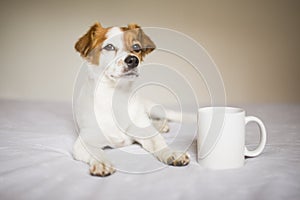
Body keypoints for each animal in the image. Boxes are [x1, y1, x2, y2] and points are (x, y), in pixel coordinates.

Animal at [72, 22, 190, 177]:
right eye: (109, 46)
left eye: (136, 47)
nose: (133, 60)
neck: (116, 96)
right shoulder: (85, 141)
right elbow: (96, 152)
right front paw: (102, 163)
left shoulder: (147, 134)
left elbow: (159, 143)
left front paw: (172, 154)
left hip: (153, 110)